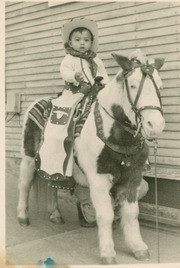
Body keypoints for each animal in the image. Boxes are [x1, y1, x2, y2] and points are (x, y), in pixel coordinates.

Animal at [16, 49, 165, 264]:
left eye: (159, 86)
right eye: (133, 84)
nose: (156, 125)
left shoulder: (133, 178)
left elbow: (131, 214)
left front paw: (138, 247)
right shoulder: (99, 179)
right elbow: (105, 215)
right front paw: (108, 253)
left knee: (51, 184)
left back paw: (55, 214)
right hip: (28, 157)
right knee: (25, 184)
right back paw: (23, 217)